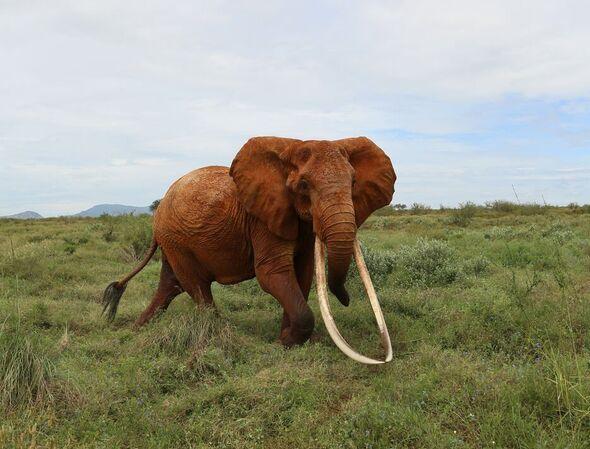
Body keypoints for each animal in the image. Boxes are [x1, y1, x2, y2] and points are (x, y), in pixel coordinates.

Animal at [103, 135, 398, 352]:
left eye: (353, 181)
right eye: (304, 184)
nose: (345, 299)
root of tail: (159, 208)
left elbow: (302, 274)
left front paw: (288, 339)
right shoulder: (262, 219)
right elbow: (271, 273)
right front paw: (286, 342)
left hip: (173, 239)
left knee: (171, 284)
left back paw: (136, 329)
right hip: (175, 239)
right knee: (195, 286)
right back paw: (220, 334)